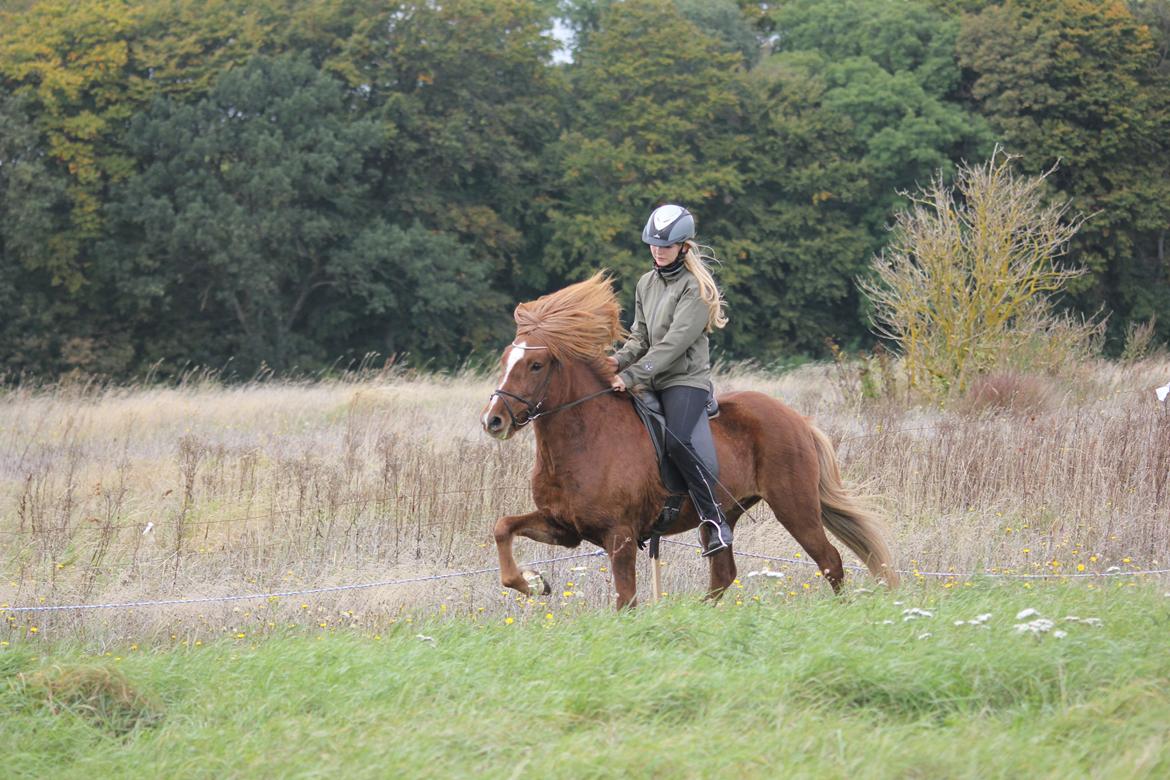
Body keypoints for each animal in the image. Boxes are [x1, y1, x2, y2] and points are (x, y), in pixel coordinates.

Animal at [479, 274, 898, 608]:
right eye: (505, 359)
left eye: (536, 365)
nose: (493, 420)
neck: (584, 441)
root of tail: (798, 420)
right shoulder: (564, 527)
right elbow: (503, 527)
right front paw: (534, 583)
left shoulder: (620, 536)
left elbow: (626, 600)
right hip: (724, 515)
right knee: (724, 574)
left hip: (795, 507)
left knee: (830, 561)